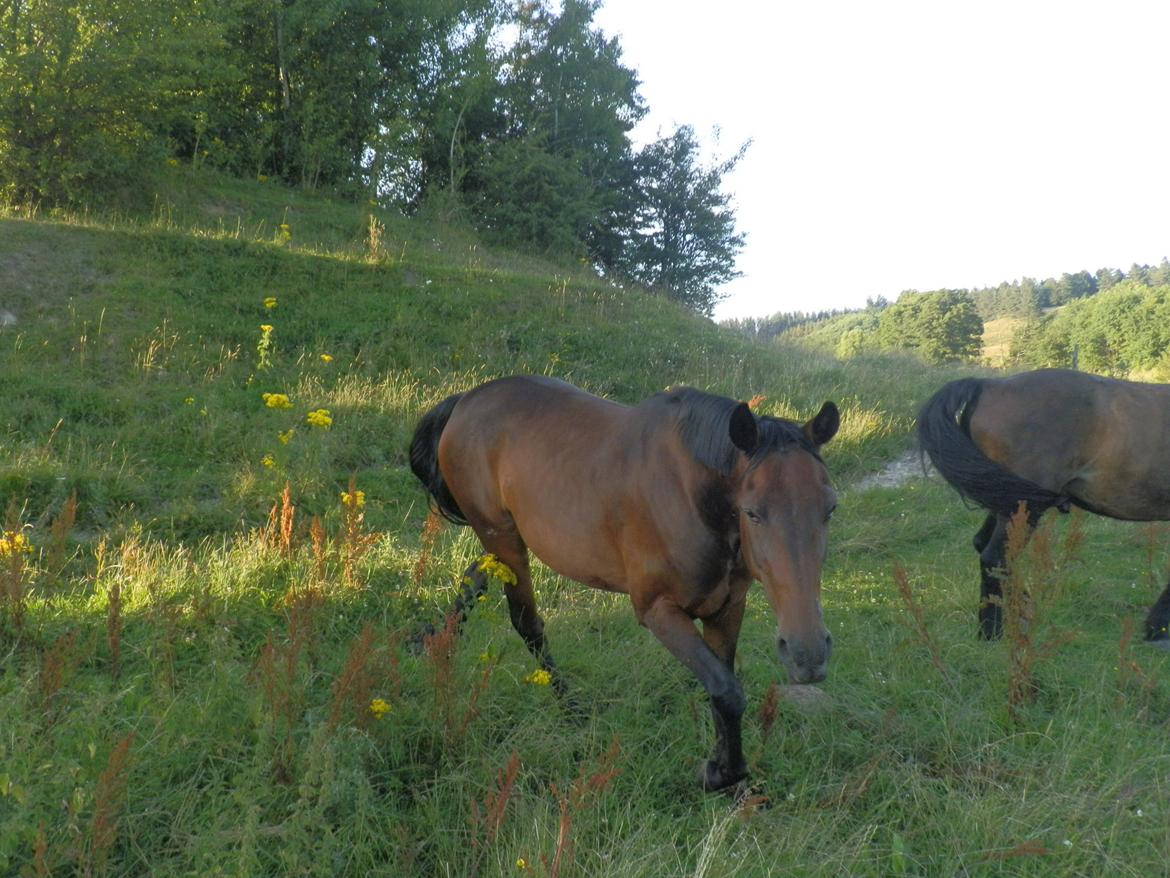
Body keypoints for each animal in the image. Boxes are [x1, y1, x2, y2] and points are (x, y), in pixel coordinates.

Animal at [411, 374, 842, 796]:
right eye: (752, 512)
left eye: (830, 509)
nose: (808, 655)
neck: (690, 498)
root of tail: (468, 399)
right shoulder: (658, 609)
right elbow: (727, 690)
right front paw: (718, 774)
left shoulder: (727, 608)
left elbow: (724, 691)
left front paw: (727, 775)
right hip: (504, 538)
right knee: (526, 623)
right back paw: (570, 707)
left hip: (499, 546)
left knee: (474, 578)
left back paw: (434, 643)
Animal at [912, 367, 1170, 641]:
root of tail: (990, 385)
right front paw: (1159, 628)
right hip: (1021, 507)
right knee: (995, 558)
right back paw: (991, 633)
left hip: (1004, 501)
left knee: (983, 545)